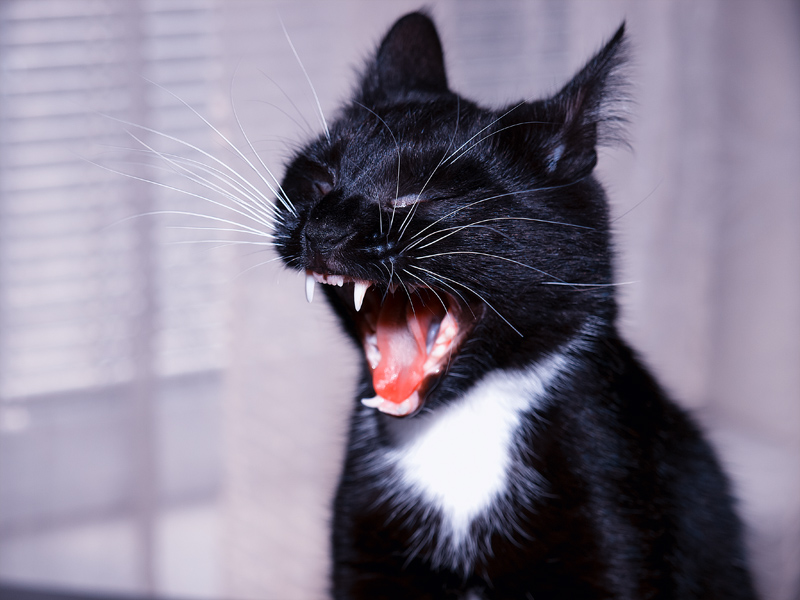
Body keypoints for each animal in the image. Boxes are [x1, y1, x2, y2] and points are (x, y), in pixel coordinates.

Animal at [273, 12, 757, 600]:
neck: (461, 430)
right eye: (316, 181)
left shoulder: (615, 510)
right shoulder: (363, 554)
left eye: (416, 196)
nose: (323, 230)